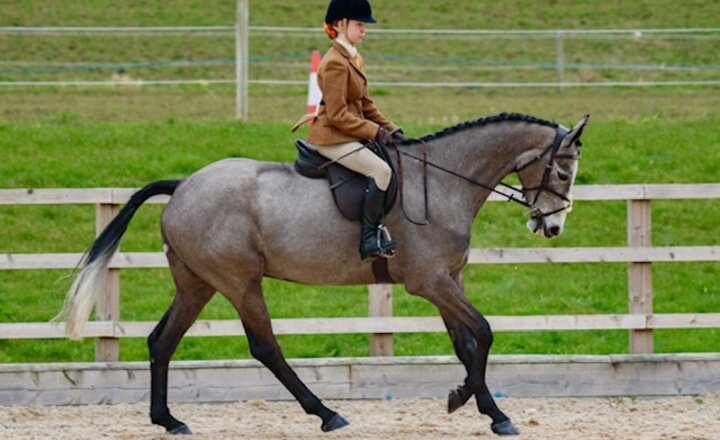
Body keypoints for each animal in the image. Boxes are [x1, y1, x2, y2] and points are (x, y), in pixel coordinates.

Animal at [54, 111, 584, 434]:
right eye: (562, 172)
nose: (552, 225)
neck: (444, 180)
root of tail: (183, 186)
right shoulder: (430, 282)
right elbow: (485, 332)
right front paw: (475, 404)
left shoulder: (449, 280)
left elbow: (467, 344)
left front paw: (483, 408)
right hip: (239, 283)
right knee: (265, 347)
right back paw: (327, 414)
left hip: (196, 283)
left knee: (162, 341)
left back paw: (169, 420)